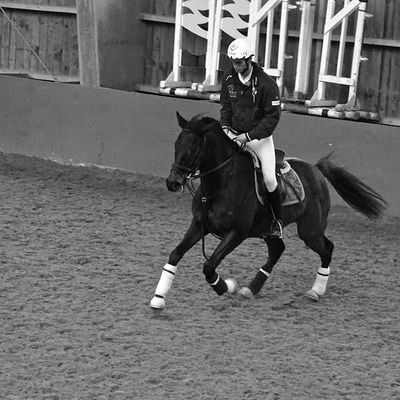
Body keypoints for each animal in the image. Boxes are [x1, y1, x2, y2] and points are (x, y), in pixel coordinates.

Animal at [149, 112, 384, 310]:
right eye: (176, 145)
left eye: (193, 149)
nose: (172, 182)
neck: (222, 183)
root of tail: (316, 170)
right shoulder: (199, 225)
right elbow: (175, 254)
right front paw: (158, 298)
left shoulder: (237, 233)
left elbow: (209, 265)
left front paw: (225, 286)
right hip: (268, 231)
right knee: (277, 250)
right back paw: (251, 289)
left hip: (310, 231)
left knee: (326, 249)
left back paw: (315, 291)